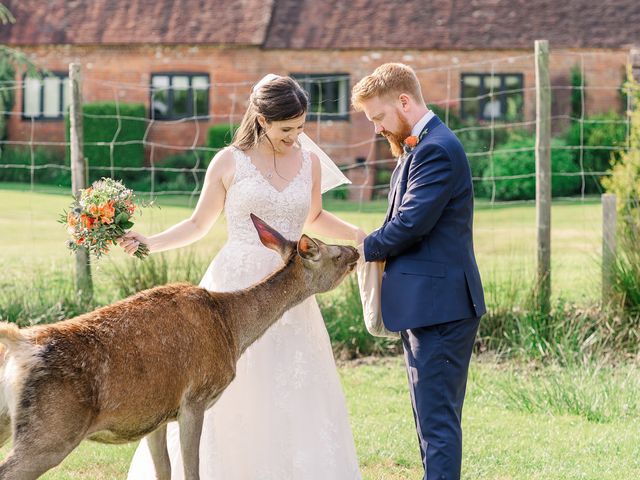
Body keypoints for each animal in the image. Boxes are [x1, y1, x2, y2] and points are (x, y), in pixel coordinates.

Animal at [0, 215, 360, 480]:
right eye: (334, 254)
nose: (356, 251)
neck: (232, 329)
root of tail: (20, 345)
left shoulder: (154, 415)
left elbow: (164, 472)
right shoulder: (195, 398)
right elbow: (191, 472)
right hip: (52, 430)